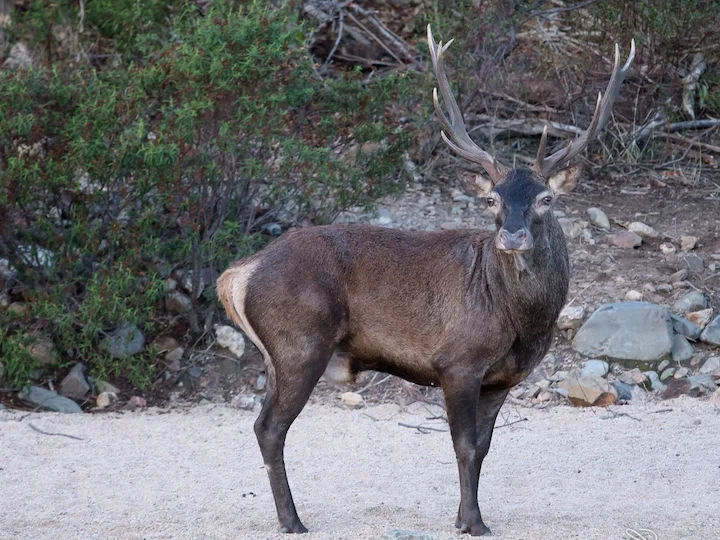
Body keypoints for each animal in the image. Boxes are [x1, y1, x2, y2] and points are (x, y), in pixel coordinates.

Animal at [216, 25, 635, 536]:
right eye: (493, 200)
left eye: (546, 198)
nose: (512, 235)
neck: (520, 322)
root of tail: (238, 274)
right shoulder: (457, 361)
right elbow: (464, 446)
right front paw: (473, 522)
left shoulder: (502, 379)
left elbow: (485, 448)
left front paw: (462, 516)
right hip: (300, 344)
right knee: (271, 427)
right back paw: (293, 520)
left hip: (280, 355)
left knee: (262, 423)